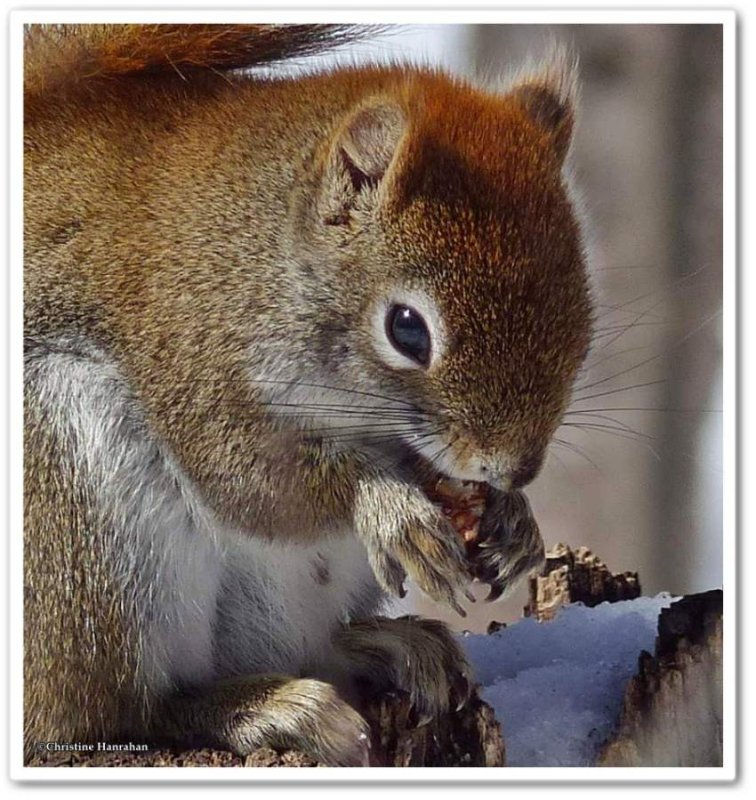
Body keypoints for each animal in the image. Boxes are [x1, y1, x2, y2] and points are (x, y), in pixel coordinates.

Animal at [22, 23, 592, 764]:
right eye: (407, 328)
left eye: (581, 304)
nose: (514, 469)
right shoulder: (186, 348)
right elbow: (249, 480)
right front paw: (388, 504)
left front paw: (515, 521)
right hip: (76, 521)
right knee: (116, 715)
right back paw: (263, 710)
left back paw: (387, 645)